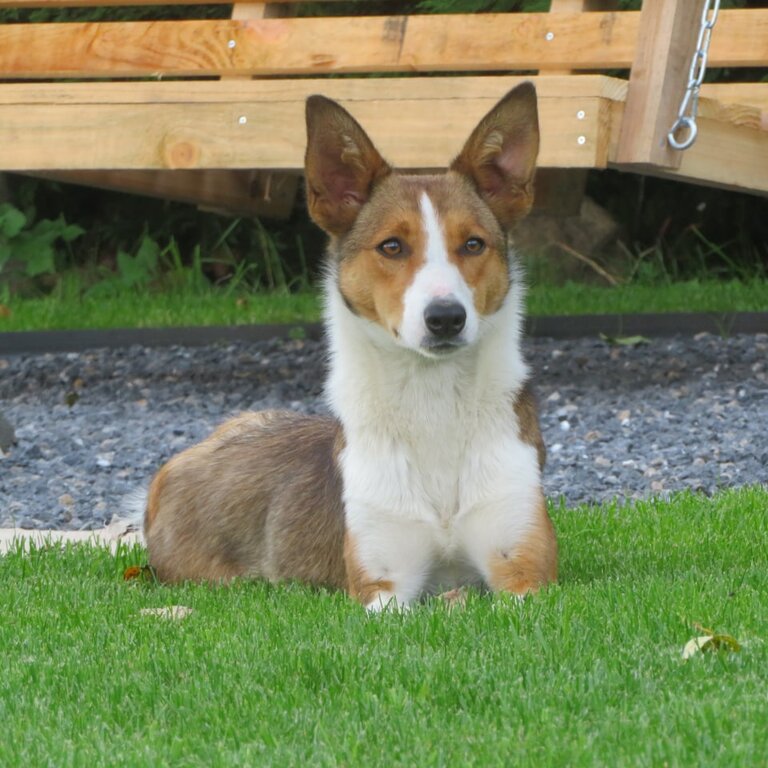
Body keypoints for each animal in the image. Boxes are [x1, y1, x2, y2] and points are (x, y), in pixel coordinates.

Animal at [141, 84, 556, 608]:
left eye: (474, 245)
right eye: (392, 246)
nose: (445, 318)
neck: (433, 401)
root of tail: (171, 471)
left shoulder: (525, 569)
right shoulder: (380, 583)